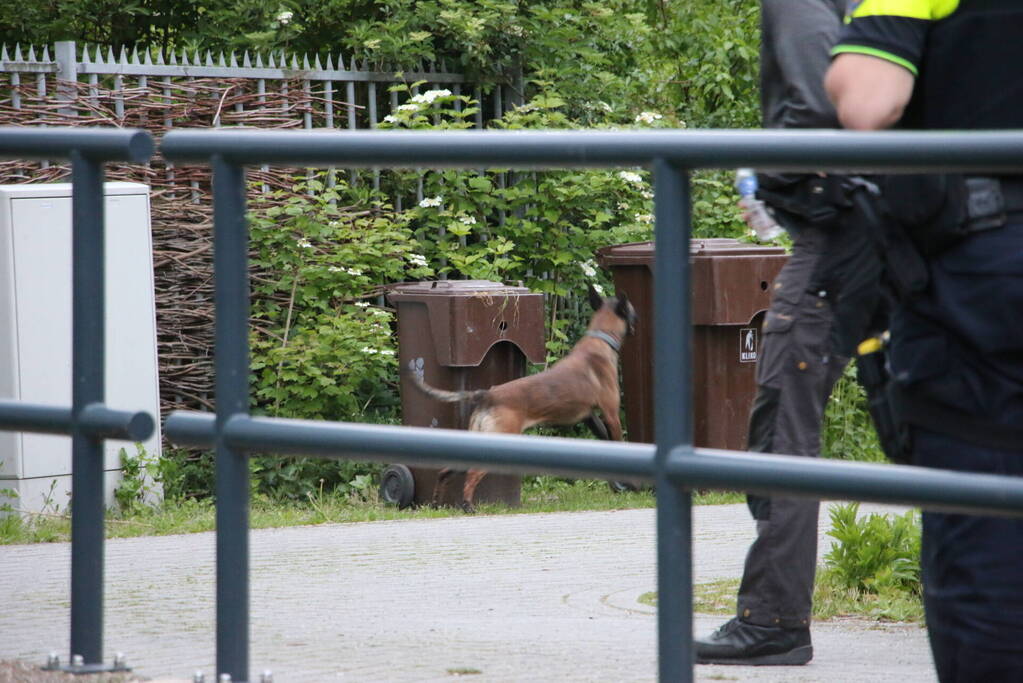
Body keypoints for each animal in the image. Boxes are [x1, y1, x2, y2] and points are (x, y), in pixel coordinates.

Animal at [405, 284, 630, 511]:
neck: (600, 339)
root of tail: (488, 394)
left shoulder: (590, 417)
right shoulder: (611, 415)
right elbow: (618, 441)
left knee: (445, 471)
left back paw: (436, 503)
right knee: (472, 474)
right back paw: (468, 506)